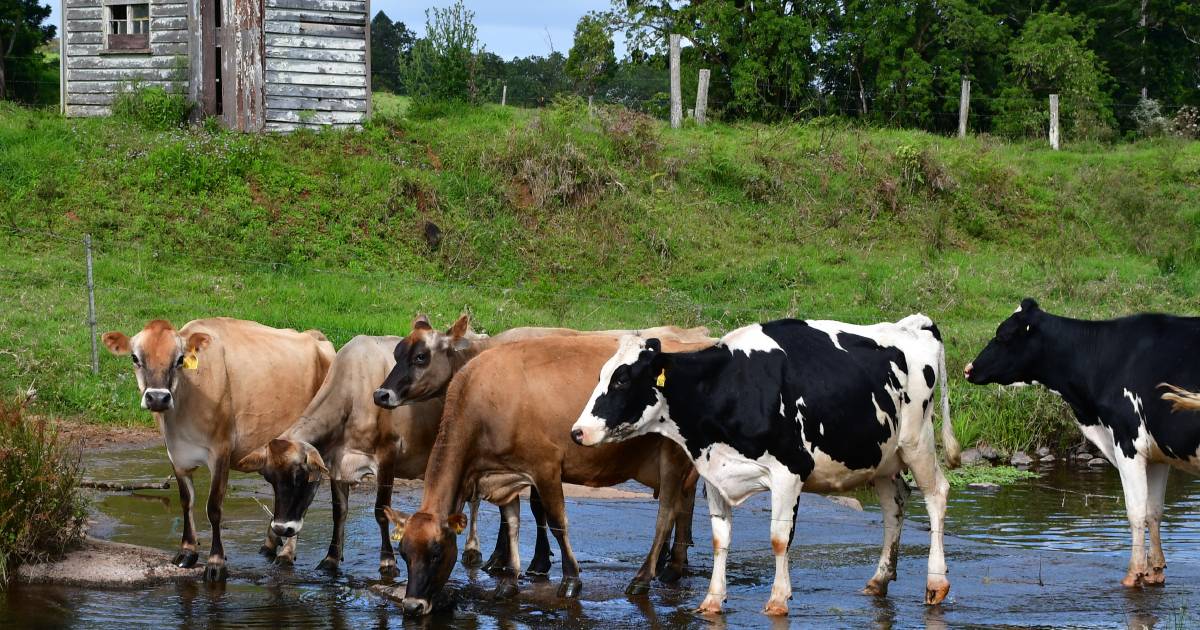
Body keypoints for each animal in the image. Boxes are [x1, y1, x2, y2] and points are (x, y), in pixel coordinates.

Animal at [101, 316, 336, 583]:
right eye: (135, 357)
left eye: (180, 359)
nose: (158, 398)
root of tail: (316, 337)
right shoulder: (176, 455)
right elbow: (186, 501)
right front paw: (187, 551)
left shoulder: (221, 453)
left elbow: (213, 507)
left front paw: (215, 562)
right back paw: (270, 542)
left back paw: (286, 553)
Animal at [386, 333, 710, 614]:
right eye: (403, 553)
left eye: (437, 552)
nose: (412, 606)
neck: (483, 399)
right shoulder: (504, 477)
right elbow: (512, 524)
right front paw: (510, 582)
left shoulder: (546, 467)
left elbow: (556, 522)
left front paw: (570, 581)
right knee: (682, 507)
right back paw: (673, 568)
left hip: (671, 455)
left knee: (667, 513)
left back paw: (643, 578)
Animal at [568, 314, 955, 614]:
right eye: (601, 375)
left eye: (622, 379)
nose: (578, 432)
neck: (727, 387)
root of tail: (912, 324)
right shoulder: (714, 473)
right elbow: (720, 538)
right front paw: (712, 599)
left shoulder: (789, 471)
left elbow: (779, 539)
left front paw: (778, 599)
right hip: (883, 458)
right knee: (895, 506)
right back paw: (879, 579)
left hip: (917, 441)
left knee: (937, 494)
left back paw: (936, 583)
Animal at [960, 297, 1200, 588]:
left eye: (1003, 335)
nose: (969, 368)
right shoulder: (1156, 453)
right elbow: (1153, 512)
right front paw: (1155, 572)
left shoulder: (1127, 442)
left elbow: (1136, 512)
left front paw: (1133, 574)